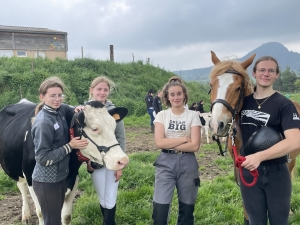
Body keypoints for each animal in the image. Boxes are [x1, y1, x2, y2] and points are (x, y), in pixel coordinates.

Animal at [0, 100, 128, 225]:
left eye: (114, 126)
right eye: (95, 129)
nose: (123, 160)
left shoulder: (73, 178)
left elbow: (66, 217)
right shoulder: (31, 178)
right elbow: (41, 213)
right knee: (22, 186)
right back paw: (26, 215)